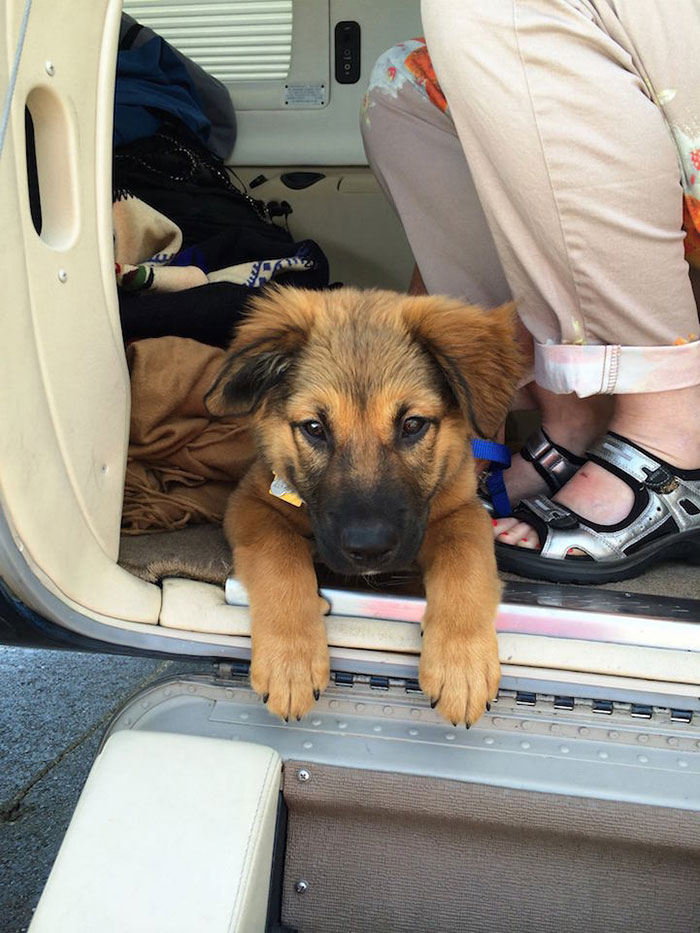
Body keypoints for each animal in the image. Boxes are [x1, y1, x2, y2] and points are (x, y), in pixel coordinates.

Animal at [205, 288, 524, 724]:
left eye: (412, 425)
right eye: (314, 428)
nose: (369, 549)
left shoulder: (461, 508)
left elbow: (465, 558)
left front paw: (462, 664)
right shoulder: (252, 499)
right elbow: (279, 554)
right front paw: (291, 661)